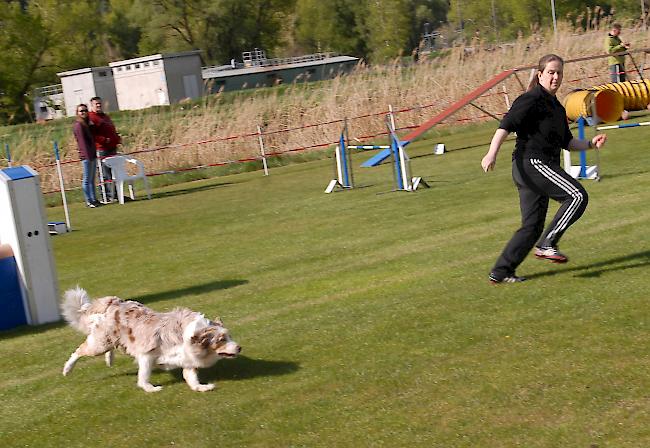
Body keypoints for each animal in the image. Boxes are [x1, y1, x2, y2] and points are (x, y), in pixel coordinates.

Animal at [59, 288, 238, 392]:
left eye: (229, 336)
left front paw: (202, 387)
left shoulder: (186, 358)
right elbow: (144, 375)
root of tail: (115, 301)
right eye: (221, 339)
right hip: (100, 344)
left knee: (109, 349)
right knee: (79, 350)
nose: (239, 348)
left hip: (114, 340)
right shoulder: (147, 355)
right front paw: (150, 389)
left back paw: (109, 360)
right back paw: (67, 369)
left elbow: (190, 377)